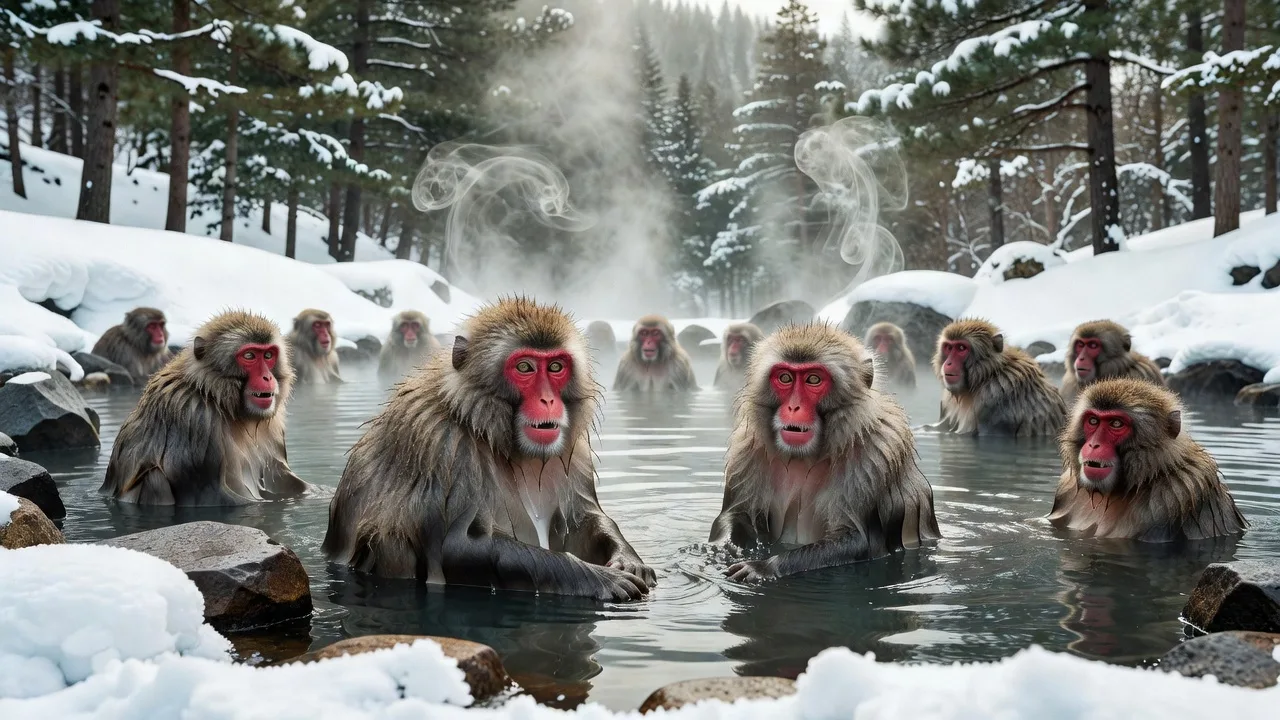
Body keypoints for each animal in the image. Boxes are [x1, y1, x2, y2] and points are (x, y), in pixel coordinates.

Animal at [99, 310, 310, 505]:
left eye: (268, 355)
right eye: (249, 355)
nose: (267, 377)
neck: (215, 395)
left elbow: (283, 479)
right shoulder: (196, 417)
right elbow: (212, 493)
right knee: (154, 479)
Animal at [322, 297, 655, 602]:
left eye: (556, 366)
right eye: (524, 367)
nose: (548, 400)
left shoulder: (573, 449)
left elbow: (580, 521)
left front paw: (628, 560)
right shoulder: (443, 445)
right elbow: (459, 546)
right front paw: (599, 578)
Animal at [709, 324, 940, 583]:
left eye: (813, 379)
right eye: (785, 377)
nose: (793, 407)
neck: (805, 456)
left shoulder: (875, 456)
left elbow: (857, 539)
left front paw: (764, 567)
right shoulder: (747, 449)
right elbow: (737, 515)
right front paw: (725, 547)